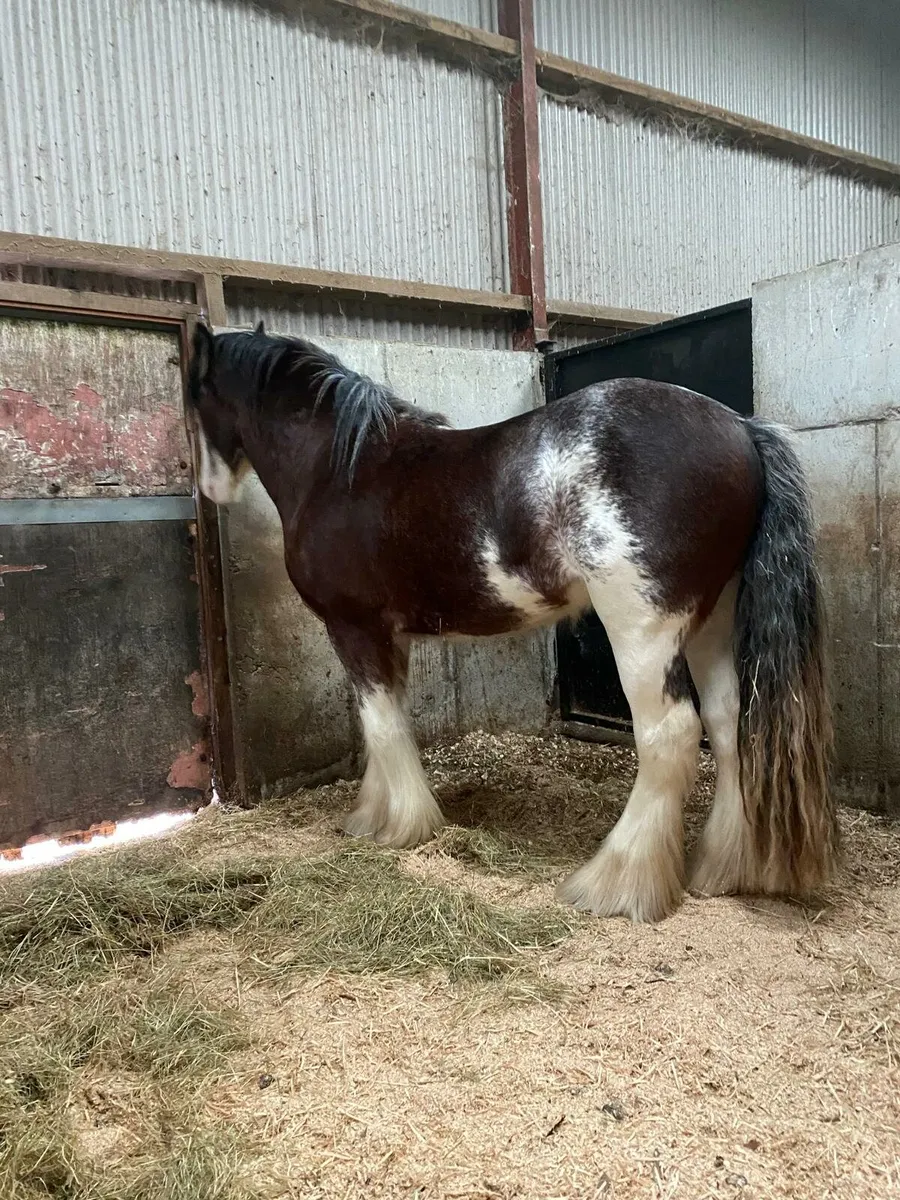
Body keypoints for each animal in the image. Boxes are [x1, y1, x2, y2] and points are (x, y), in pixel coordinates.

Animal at [186, 321, 839, 923]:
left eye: (194, 393)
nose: (210, 487)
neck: (340, 467)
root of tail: (741, 427)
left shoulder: (354, 629)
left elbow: (382, 726)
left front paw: (401, 826)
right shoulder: (388, 636)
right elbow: (390, 718)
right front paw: (375, 814)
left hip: (643, 630)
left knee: (671, 734)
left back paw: (614, 884)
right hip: (711, 621)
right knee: (729, 723)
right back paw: (721, 867)